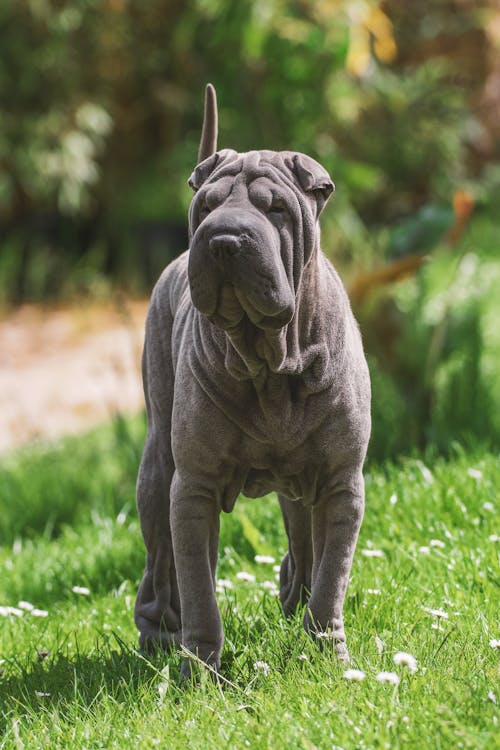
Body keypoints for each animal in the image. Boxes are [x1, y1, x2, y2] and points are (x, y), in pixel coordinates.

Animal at [135, 85, 370, 680]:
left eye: (275, 209)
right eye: (207, 208)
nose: (222, 240)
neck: (270, 362)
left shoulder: (342, 483)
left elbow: (332, 576)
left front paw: (327, 653)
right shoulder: (192, 488)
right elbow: (199, 586)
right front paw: (200, 670)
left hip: (300, 484)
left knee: (304, 541)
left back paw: (294, 600)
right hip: (158, 469)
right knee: (162, 564)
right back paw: (160, 637)